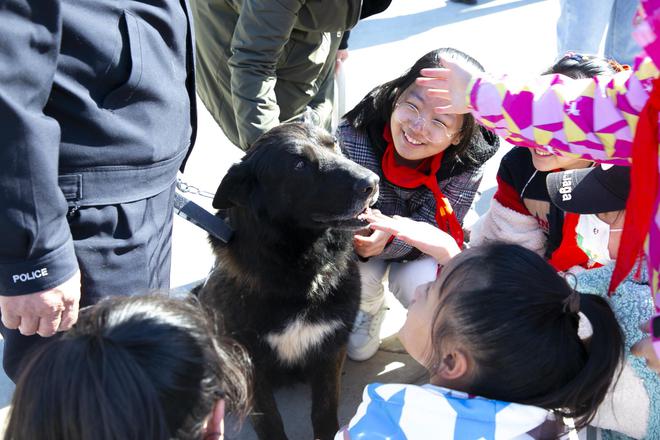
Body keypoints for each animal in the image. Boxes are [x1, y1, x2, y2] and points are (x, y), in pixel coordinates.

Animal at [197, 122, 376, 438]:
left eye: (334, 145)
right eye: (298, 165)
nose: (373, 182)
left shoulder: (330, 349)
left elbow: (324, 412)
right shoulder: (250, 363)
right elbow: (269, 420)